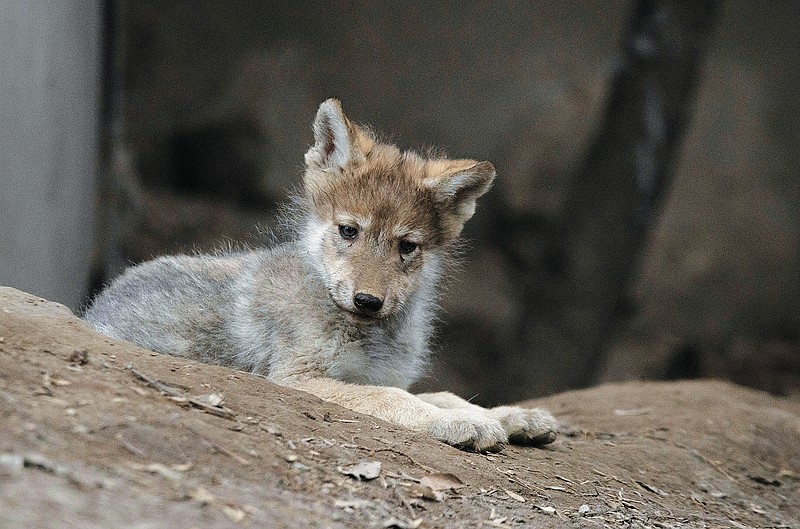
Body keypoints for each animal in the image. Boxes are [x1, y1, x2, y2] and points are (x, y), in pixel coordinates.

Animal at [83, 99, 558, 452]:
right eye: (349, 231)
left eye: (407, 246)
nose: (368, 301)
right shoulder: (299, 379)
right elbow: (396, 399)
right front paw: (463, 425)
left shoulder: (378, 374)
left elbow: (444, 395)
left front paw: (511, 416)